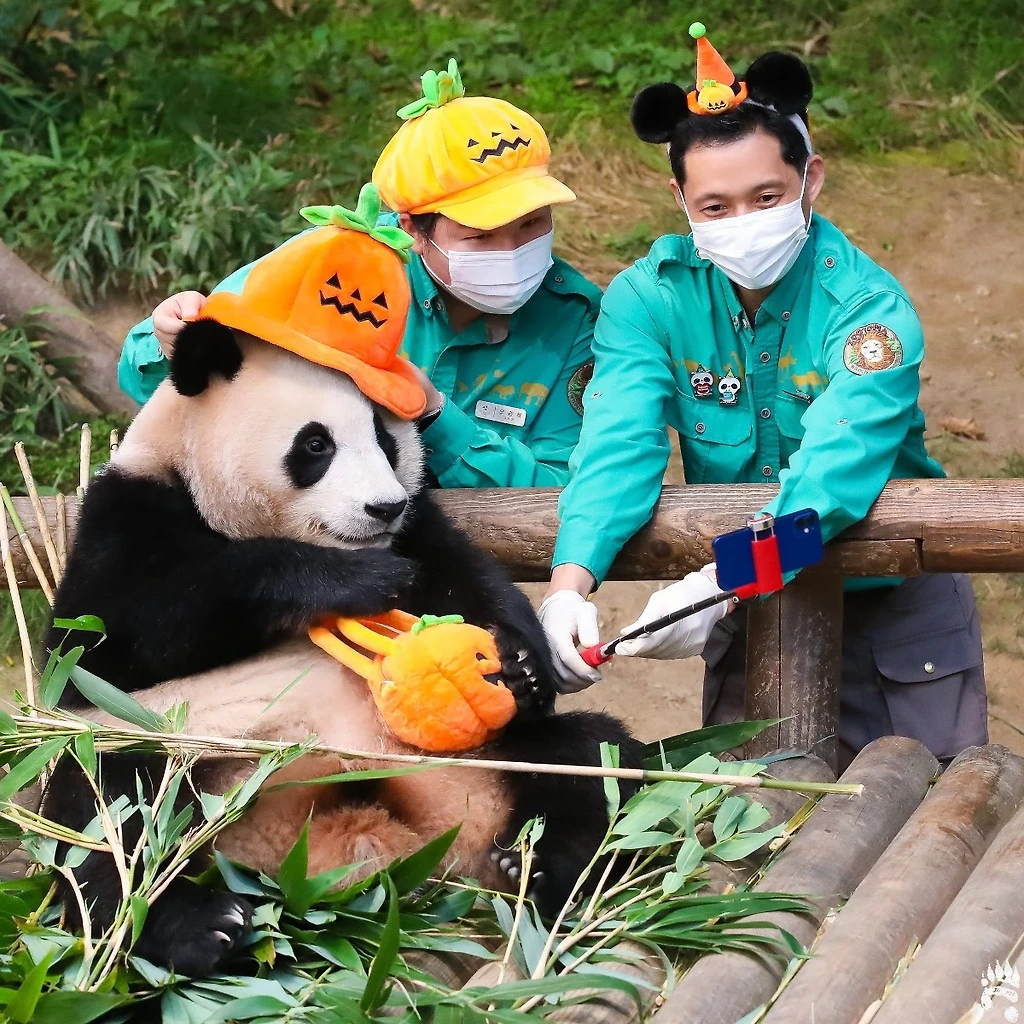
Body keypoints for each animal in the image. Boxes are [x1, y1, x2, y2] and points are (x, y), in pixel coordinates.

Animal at [43, 320, 641, 978]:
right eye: (315, 445)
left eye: (386, 438)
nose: (382, 506)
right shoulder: (127, 516)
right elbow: (105, 643)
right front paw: (353, 583)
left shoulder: (418, 526)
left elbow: (469, 581)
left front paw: (523, 668)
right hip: (171, 745)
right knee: (105, 812)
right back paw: (200, 925)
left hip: (488, 758)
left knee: (593, 760)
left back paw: (537, 867)